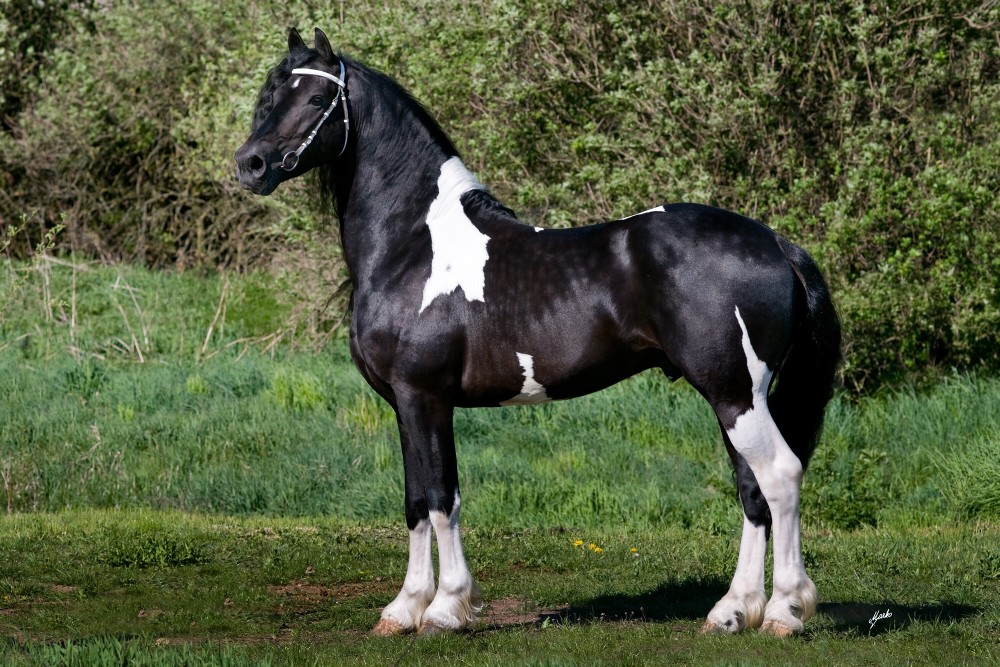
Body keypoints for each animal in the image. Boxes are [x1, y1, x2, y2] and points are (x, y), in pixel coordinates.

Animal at [238, 28, 840, 640]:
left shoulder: (424, 396)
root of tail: (775, 244)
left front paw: (444, 608)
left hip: (735, 393)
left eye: (317, 99)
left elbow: (441, 498)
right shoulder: (406, 405)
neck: (415, 245)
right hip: (733, 398)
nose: (251, 164)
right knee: (752, 491)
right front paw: (403, 609)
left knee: (780, 477)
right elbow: (415, 501)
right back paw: (732, 611)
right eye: (271, 94)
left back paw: (785, 612)